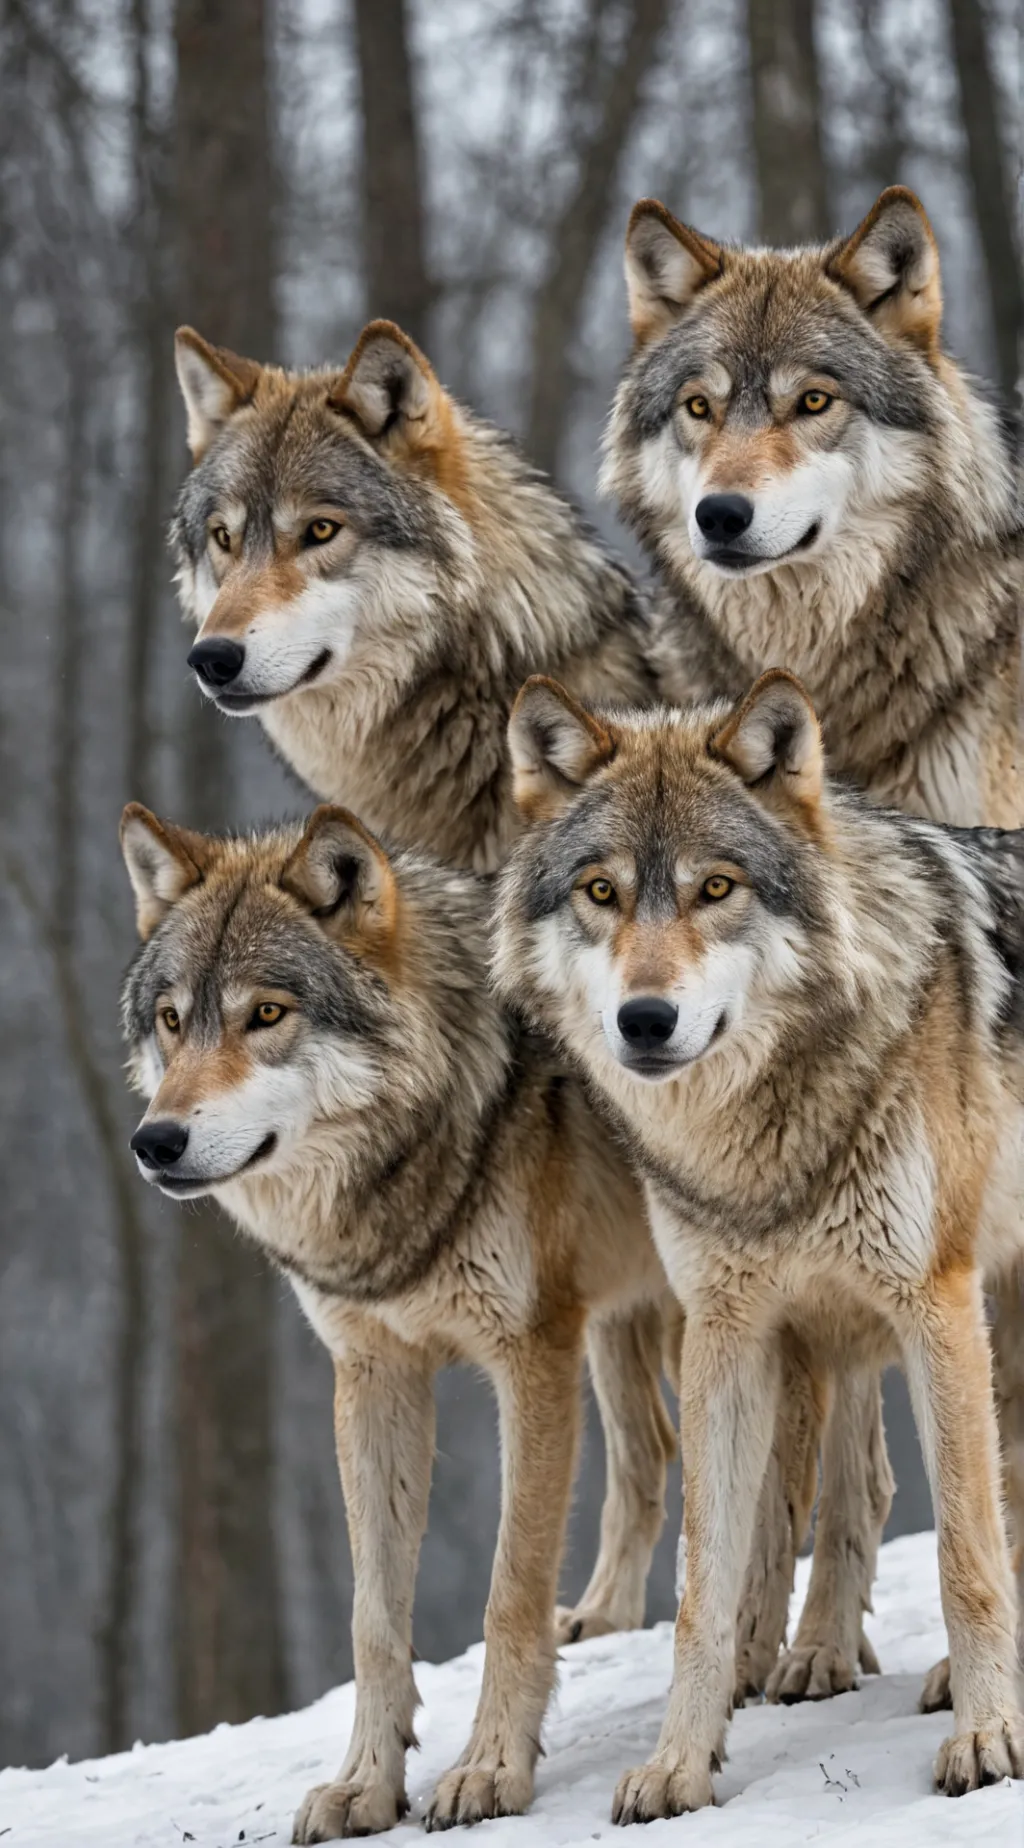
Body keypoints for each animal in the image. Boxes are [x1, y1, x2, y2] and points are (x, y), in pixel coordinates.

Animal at [119, 799, 676, 1836]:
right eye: (173, 1021)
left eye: (266, 1014)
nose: (155, 1141)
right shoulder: (374, 1374)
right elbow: (373, 1620)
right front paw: (364, 1787)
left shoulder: (532, 1359)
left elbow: (509, 1592)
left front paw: (491, 1770)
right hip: (627, 1319)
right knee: (655, 1453)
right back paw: (614, 1618)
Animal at [494, 670, 1024, 1821]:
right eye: (600, 893)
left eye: (716, 888)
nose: (646, 1020)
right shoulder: (727, 1331)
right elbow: (706, 1589)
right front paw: (678, 1766)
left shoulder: (934, 1302)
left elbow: (965, 1556)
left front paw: (989, 1737)